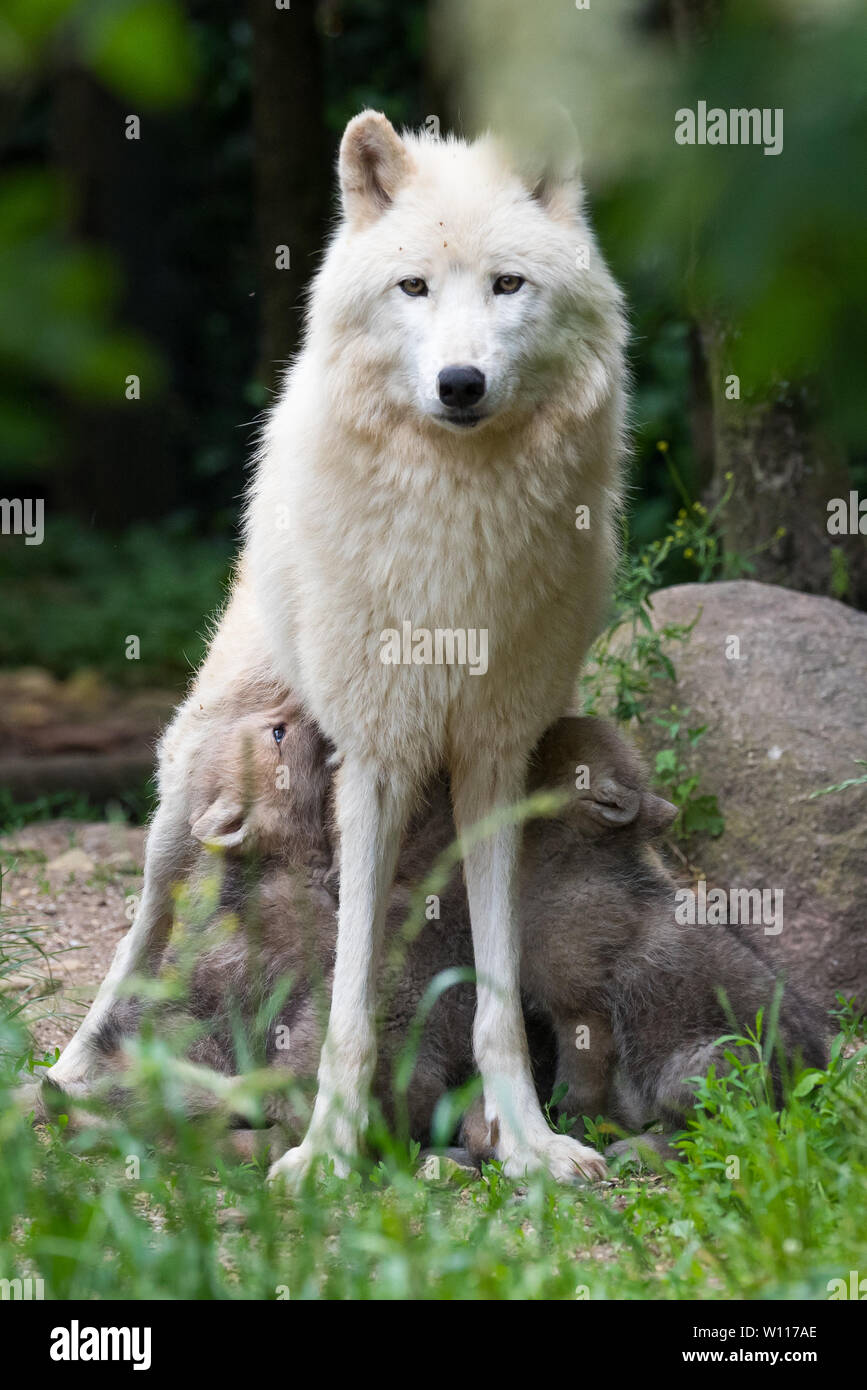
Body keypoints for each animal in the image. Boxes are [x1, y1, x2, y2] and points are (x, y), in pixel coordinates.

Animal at [47, 111, 628, 1185]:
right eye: (413, 288)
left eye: (506, 285)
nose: (459, 383)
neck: (457, 515)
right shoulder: (379, 761)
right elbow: (349, 996)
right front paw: (325, 1153)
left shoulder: (493, 759)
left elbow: (493, 996)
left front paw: (527, 1144)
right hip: (184, 790)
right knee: (141, 931)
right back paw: (66, 1074)